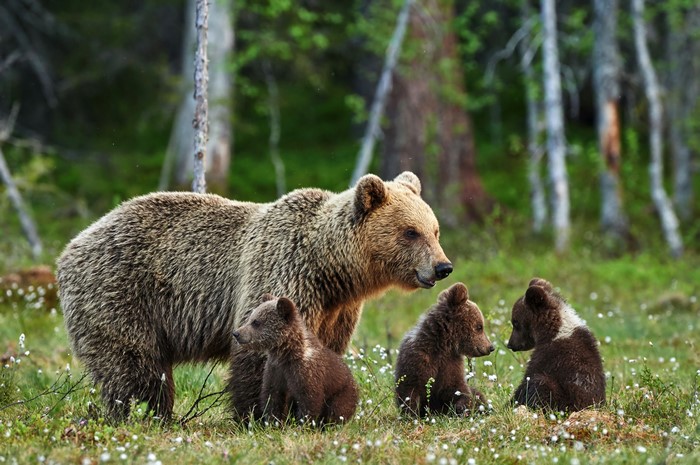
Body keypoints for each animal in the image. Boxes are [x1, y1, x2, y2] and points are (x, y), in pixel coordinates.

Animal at [232, 294, 358, 426]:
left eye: (256, 322)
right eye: (250, 318)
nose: (236, 333)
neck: (286, 353)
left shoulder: (306, 372)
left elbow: (309, 400)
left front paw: (303, 424)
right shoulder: (275, 370)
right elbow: (272, 397)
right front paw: (273, 423)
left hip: (342, 393)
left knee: (337, 410)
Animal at [395, 282, 494, 417]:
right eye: (479, 327)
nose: (491, 347)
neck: (443, 345)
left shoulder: (451, 364)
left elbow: (458, 389)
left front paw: (462, 408)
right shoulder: (417, 359)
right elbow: (409, 390)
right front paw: (411, 414)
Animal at [507, 278, 606, 412]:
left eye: (515, 322)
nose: (510, 344)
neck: (553, 331)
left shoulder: (550, 356)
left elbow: (528, 378)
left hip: (564, 399)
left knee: (540, 382)